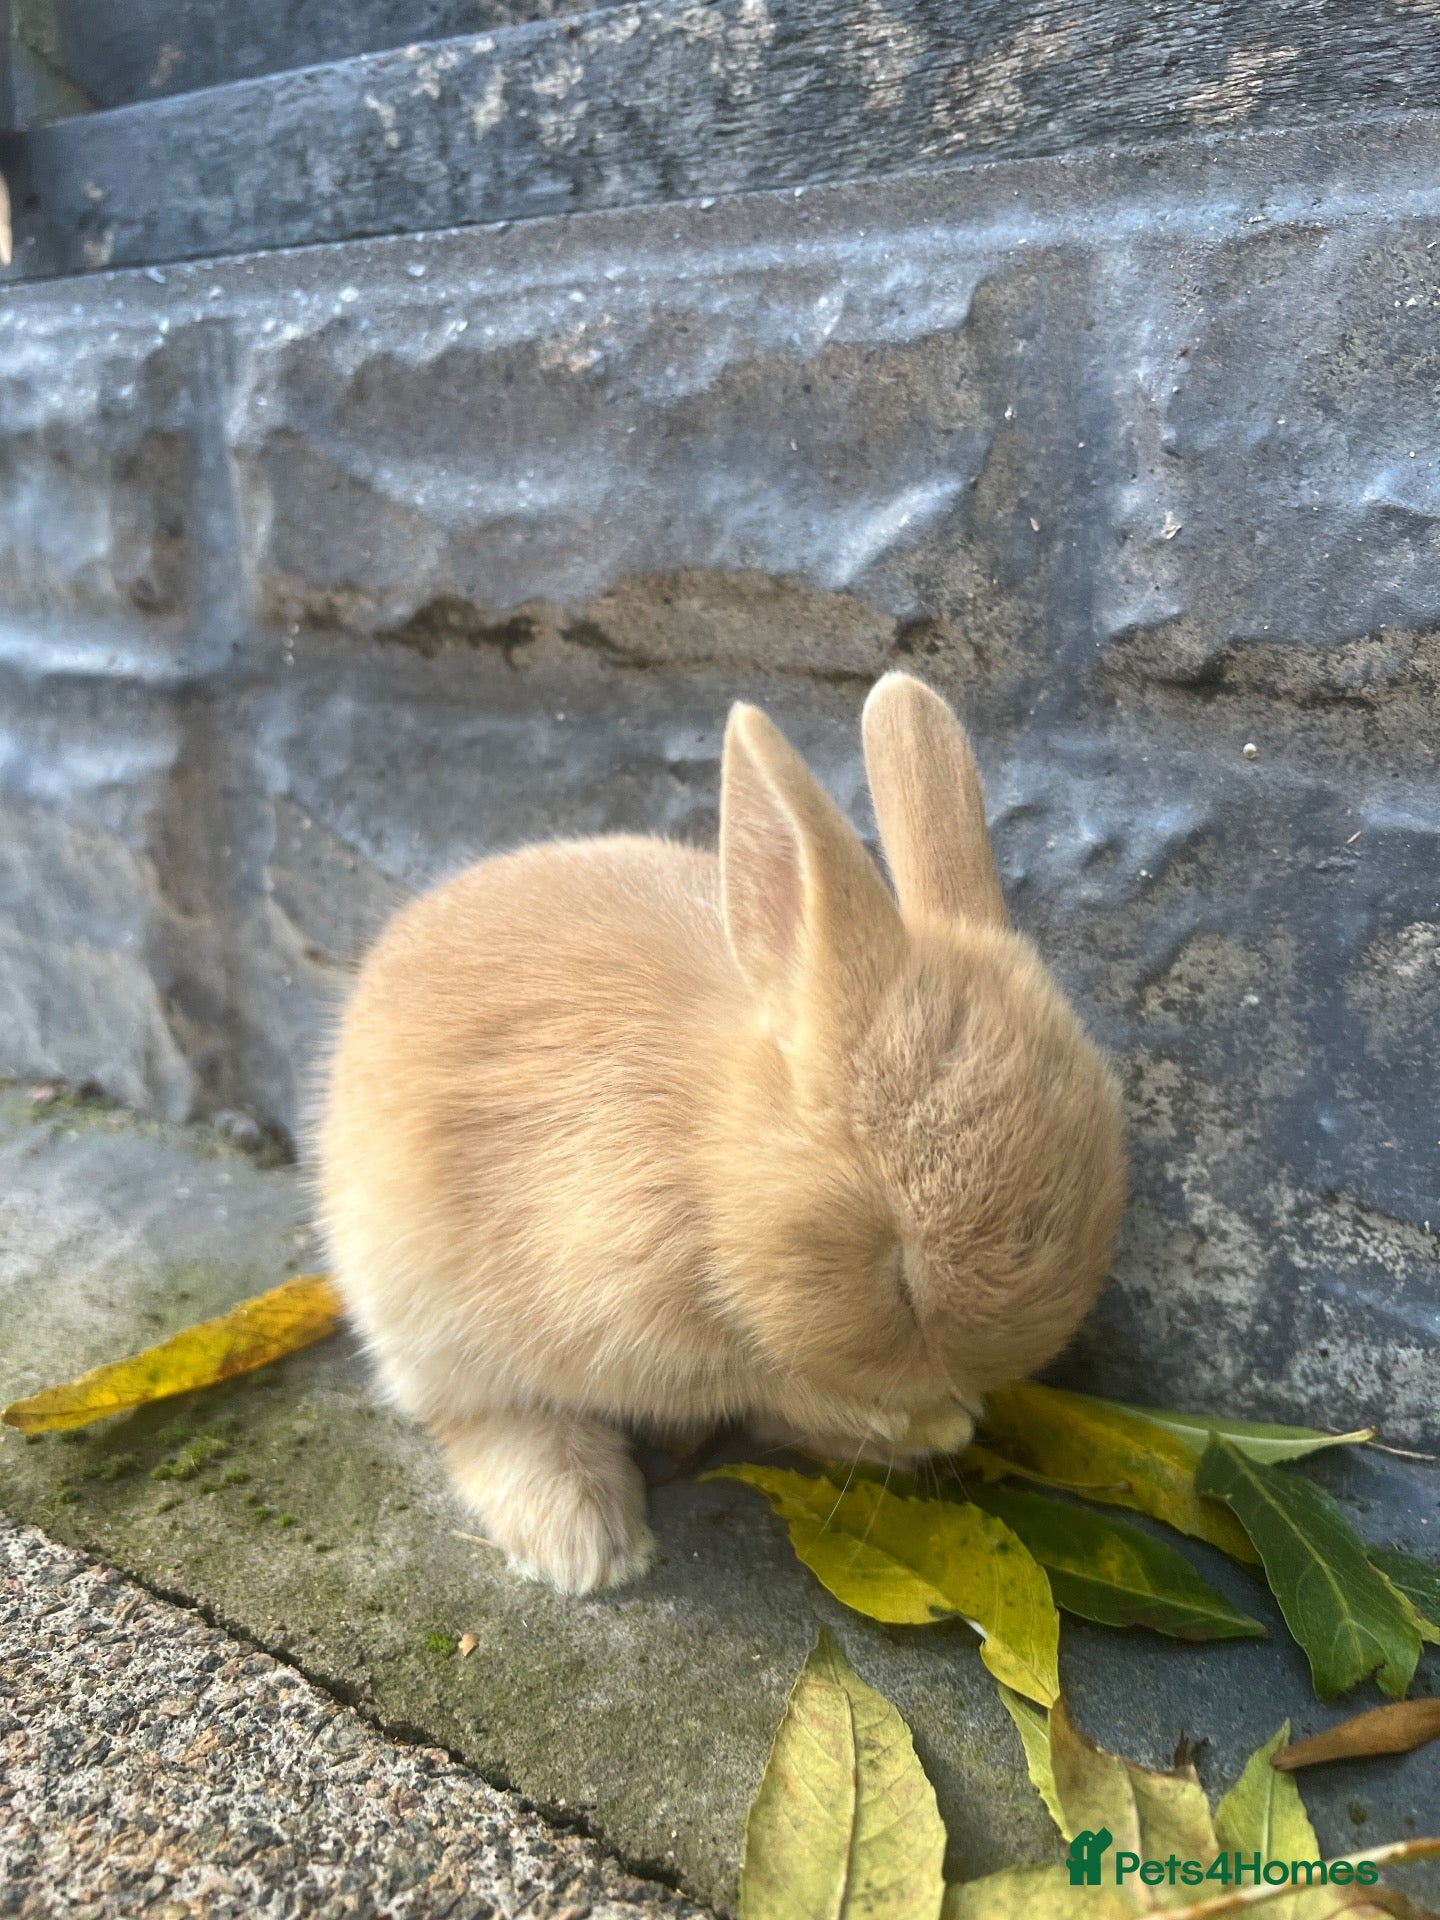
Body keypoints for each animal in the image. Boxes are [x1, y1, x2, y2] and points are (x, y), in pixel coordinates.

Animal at [316, 672, 1126, 1596]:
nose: (957, 1399)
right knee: (485, 1415)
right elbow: (765, 1380)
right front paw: (927, 1427)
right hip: (421, 1315)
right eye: (904, 1286)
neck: (707, 1166)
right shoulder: (638, 1322)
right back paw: (587, 1544)